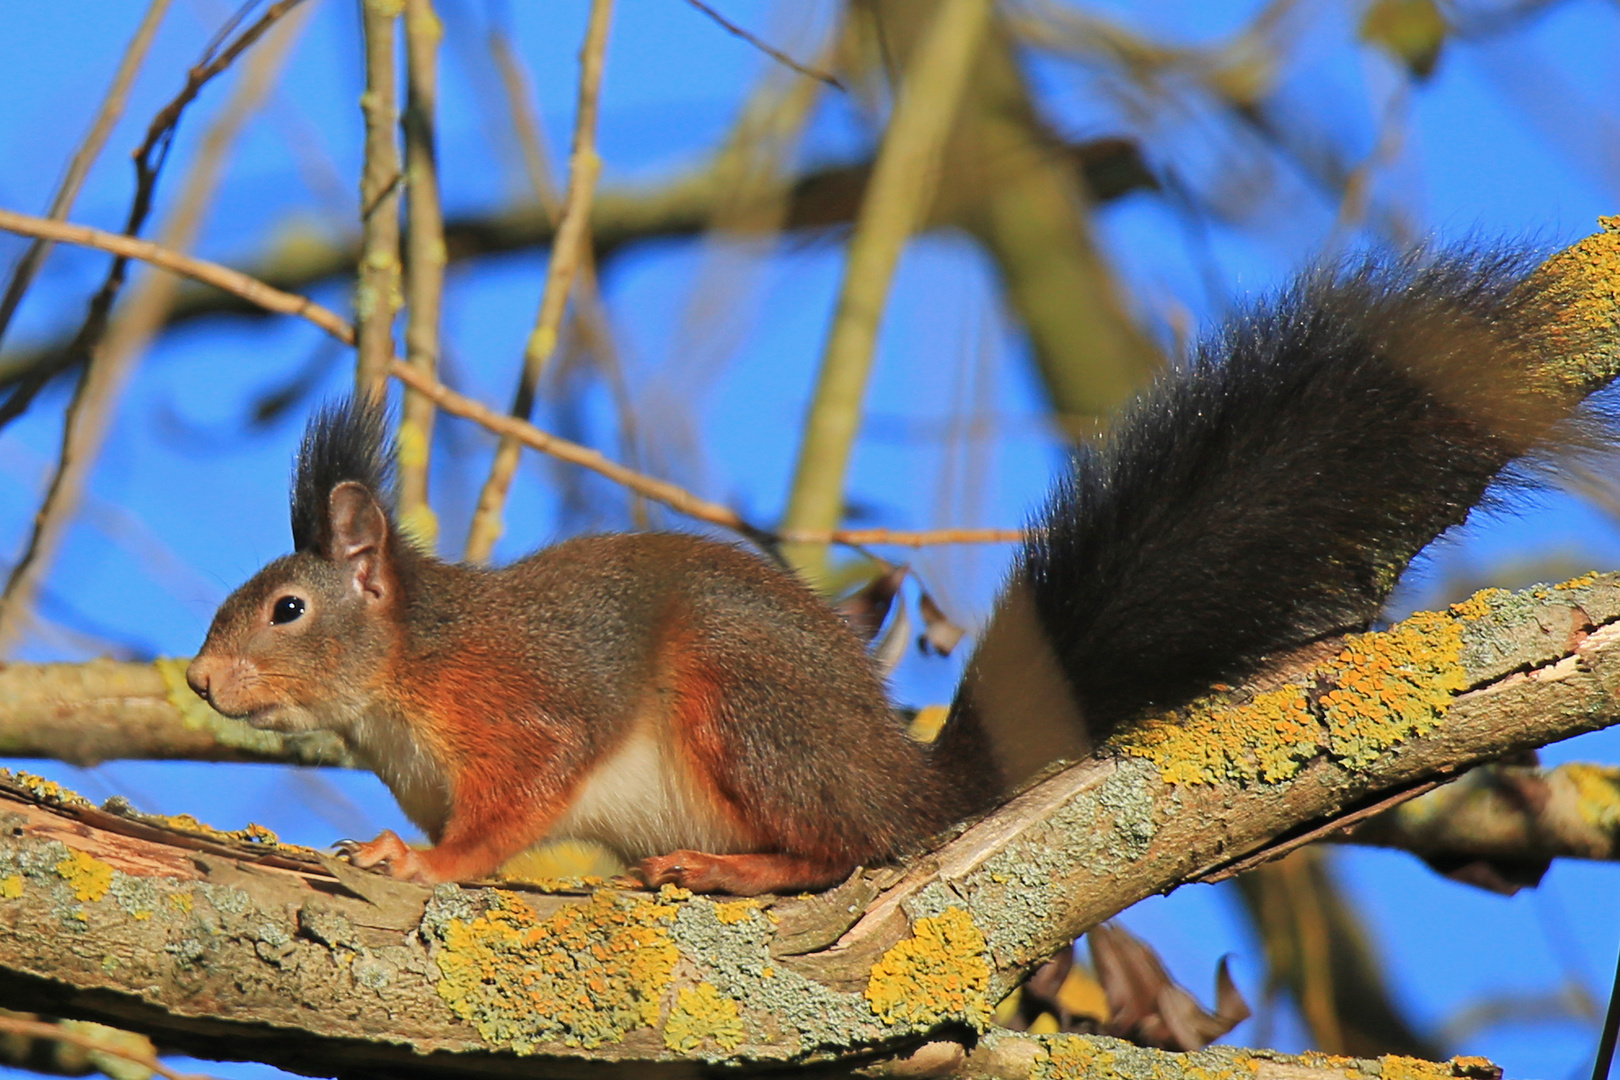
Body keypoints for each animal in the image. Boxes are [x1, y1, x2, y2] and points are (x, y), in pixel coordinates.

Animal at [186, 244, 1607, 893]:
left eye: (288, 606)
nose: (197, 683)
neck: (407, 675)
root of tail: (909, 776)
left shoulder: (524, 702)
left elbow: (517, 802)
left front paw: (414, 863)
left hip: (746, 713)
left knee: (850, 851)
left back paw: (737, 868)